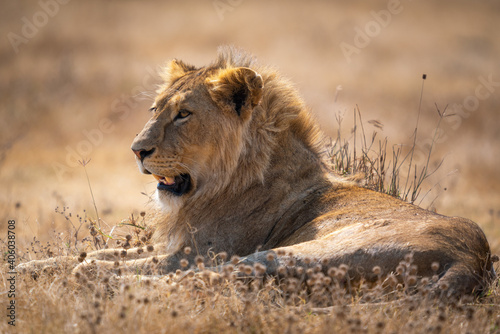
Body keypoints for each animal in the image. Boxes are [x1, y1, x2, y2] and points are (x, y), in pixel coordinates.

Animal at [18, 46, 496, 298]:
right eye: (155, 109)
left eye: (184, 115)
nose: (137, 151)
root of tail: (474, 259)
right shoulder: (178, 244)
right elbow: (85, 253)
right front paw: (24, 268)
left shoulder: (197, 252)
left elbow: (113, 262)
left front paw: (87, 276)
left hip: (294, 252)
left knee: (207, 281)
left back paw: (116, 289)